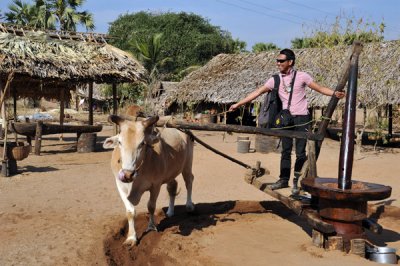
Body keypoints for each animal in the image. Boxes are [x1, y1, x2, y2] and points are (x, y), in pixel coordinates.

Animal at [103, 114, 195, 245]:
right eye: (120, 142)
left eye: (142, 143)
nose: (127, 174)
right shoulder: (120, 185)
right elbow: (130, 212)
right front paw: (131, 238)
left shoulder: (156, 185)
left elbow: (151, 206)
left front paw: (151, 227)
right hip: (171, 173)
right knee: (172, 187)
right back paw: (170, 212)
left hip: (187, 165)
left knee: (189, 181)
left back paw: (189, 206)